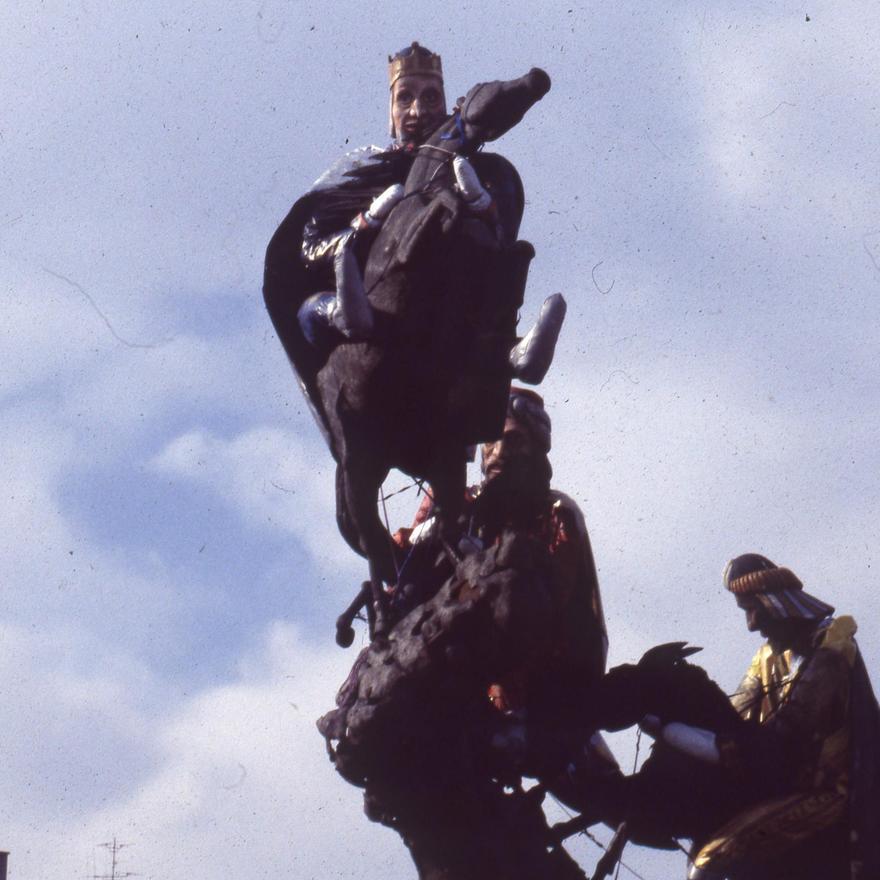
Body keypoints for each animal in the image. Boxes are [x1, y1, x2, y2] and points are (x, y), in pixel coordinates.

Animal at [262, 65, 552, 636]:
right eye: (490, 86)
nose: (538, 77)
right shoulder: (409, 242)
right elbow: (429, 216)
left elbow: (513, 251)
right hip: (359, 472)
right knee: (379, 555)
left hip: (439, 459)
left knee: (434, 531)